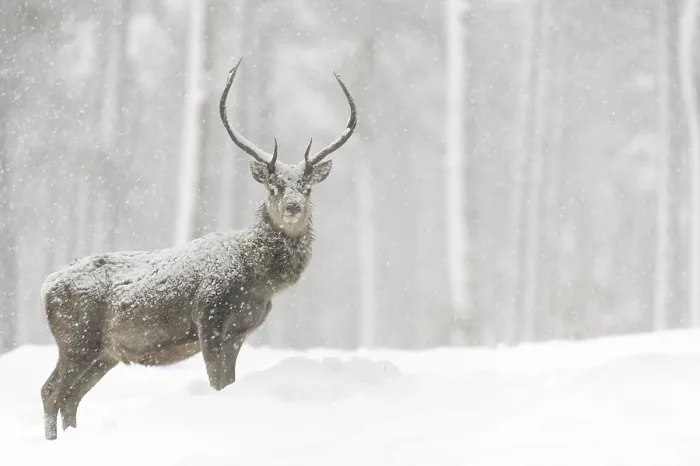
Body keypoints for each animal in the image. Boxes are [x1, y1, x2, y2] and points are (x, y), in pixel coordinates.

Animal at [39, 58, 357, 441]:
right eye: (273, 185)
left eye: (308, 188)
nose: (294, 206)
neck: (257, 278)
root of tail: (45, 289)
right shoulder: (210, 317)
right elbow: (216, 384)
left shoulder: (239, 331)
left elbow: (228, 384)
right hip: (77, 338)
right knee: (51, 391)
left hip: (105, 352)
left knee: (71, 397)